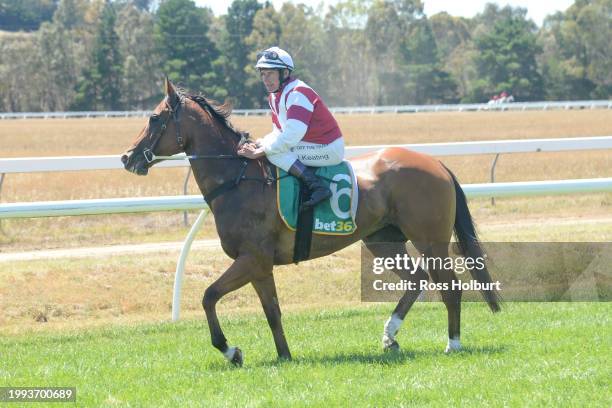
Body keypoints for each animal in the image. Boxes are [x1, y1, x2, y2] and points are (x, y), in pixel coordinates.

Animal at [122, 79, 500, 366]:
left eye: (154, 118)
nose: (127, 157)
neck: (238, 180)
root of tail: (436, 162)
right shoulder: (260, 266)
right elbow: (272, 312)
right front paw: (284, 356)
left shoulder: (252, 259)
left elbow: (208, 296)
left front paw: (231, 351)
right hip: (382, 240)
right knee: (418, 279)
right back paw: (390, 336)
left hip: (430, 239)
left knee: (450, 286)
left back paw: (452, 343)